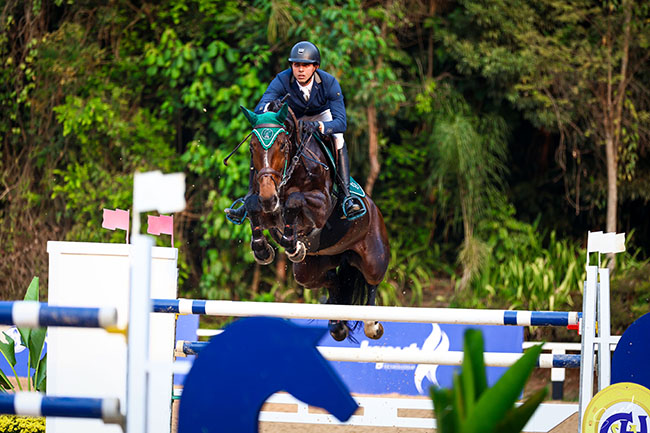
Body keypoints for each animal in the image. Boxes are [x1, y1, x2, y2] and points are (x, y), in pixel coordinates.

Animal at [233, 102, 388, 340]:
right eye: (252, 148)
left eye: (282, 146)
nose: (268, 197)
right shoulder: (264, 205)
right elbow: (252, 205)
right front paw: (262, 250)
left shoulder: (321, 207)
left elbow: (294, 201)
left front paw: (292, 245)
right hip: (309, 271)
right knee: (334, 280)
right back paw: (337, 325)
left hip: (373, 258)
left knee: (372, 282)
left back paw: (372, 325)